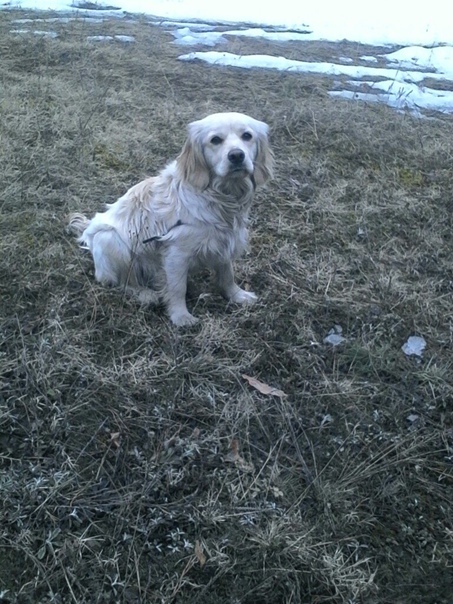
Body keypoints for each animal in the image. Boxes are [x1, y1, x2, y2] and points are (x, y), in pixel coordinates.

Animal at [67, 110, 272, 324]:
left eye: (247, 136)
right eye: (215, 140)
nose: (237, 155)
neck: (221, 197)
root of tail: (88, 231)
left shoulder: (225, 240)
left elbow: (227, 275)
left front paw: (238, 295)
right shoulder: (176, 253)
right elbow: (177, 288)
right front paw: (181, 316)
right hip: (110, 240)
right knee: (119, 281)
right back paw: (145, 294)